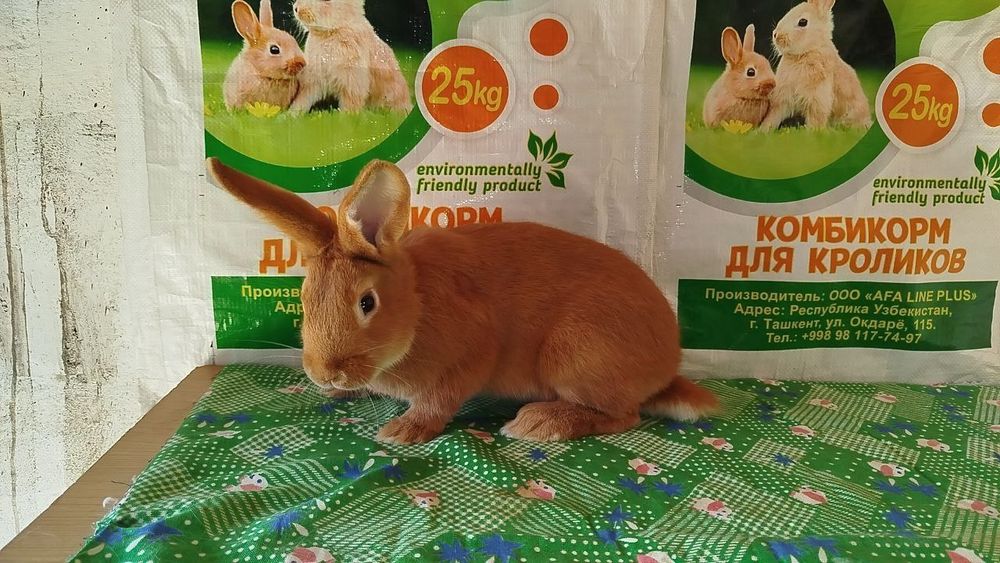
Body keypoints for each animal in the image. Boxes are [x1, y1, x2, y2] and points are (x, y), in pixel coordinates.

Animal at [206, 157, 719, 445]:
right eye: (304, 298)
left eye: (367, 303)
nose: (323, 373)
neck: (416, 303)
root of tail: (667, 365)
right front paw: (339, 392)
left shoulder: (472, 352)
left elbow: (439, 400)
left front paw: (403, 431)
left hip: (577, 355)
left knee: (623, 415)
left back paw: (538, 423)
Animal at [759, 0, 872, 131]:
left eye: (803, 22)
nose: (776, 35)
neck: (806, 53)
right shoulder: (782, 97)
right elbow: (773, 117)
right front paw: (761, 131)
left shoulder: (817, 98)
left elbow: (816, 119)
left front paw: (812, 133)